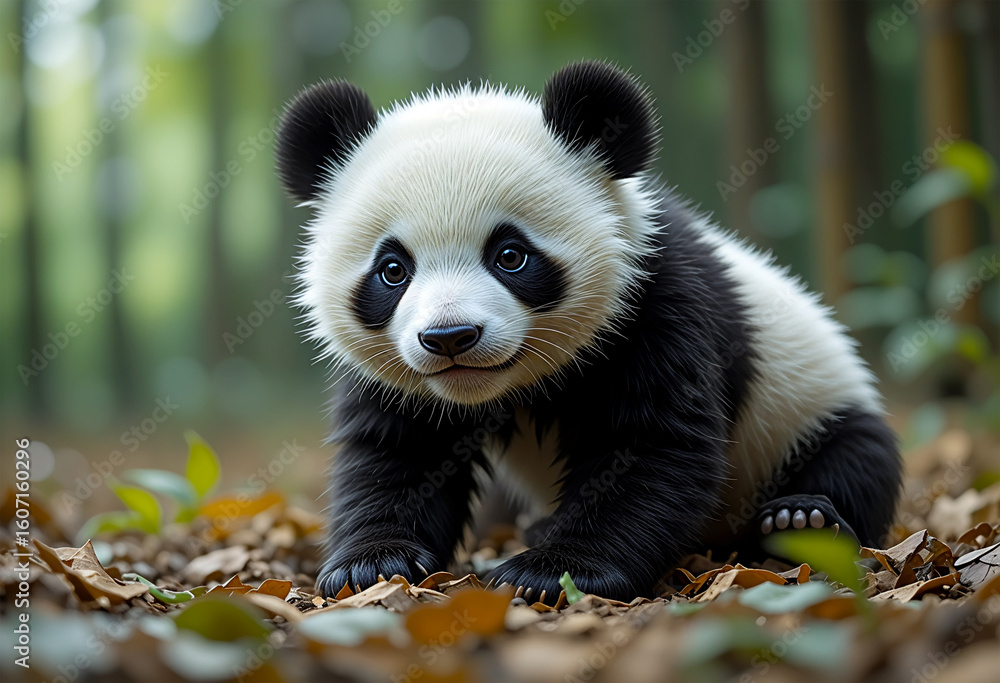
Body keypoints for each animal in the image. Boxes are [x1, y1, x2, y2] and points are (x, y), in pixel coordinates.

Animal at [275, 61, 902, 603]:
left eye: (510, 256)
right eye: (392, 269)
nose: (451, 337)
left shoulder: (653, 302)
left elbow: (648, 444)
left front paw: (552, 573)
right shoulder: (398, 375)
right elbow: (400, 452)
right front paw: (373, 563)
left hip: (808, 403)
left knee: (858, 455)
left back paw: (802, 518)